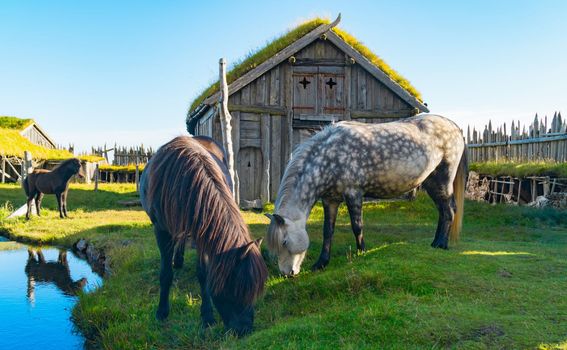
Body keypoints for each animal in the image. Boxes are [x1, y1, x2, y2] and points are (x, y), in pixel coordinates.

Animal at [141, 135, 268, 334]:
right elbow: (166, 274)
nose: (245, 330)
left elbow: (203, 274)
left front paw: (207, 316)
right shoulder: (161, 230)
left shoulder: (203, 232)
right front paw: (162, 312)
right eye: (236, 288)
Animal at [266, 115, 466, 276]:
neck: (329, 156)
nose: (287, 273)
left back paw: (441, 244)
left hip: (443, 178)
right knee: (443, 210)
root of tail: (455, 126)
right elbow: (327, 231)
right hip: (431, 182)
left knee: (449, 210)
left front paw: (362, 252)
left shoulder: (353, 193)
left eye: (284, 242)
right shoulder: (330, 200)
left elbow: (357, 226)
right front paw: (321, 263)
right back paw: (435, 242)